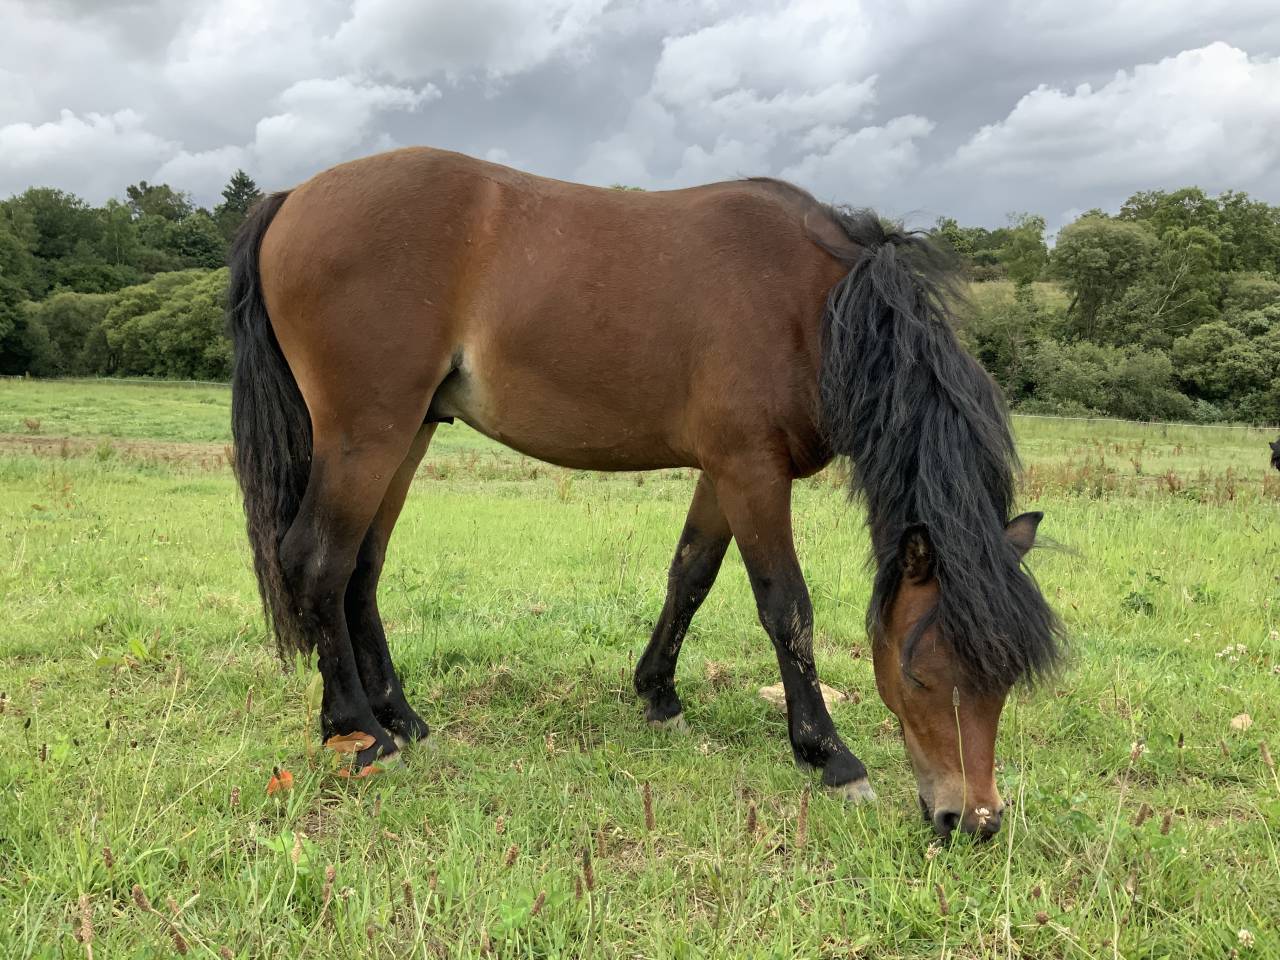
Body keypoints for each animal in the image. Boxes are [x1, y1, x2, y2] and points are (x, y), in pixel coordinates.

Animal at [228, 147, 1062, 839]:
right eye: (922, 674)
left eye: (1005, 679)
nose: (973, 821)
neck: (815, 306)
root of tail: (294, 196)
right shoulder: (752, 472)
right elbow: (786, 608)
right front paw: (829, 754)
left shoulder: (727, 472)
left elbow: (691, 574)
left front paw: (658, 695)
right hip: (366, 432)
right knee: (317, 561)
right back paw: (360, 733)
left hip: (409, 433)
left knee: (361, 568)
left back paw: (401, 717)